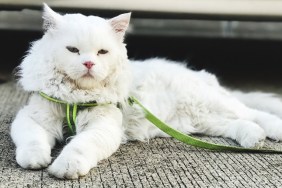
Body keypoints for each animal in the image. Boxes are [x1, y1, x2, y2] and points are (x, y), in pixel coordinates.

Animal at [9, 3, 282, 178]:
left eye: (102, 52)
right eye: (73, 50)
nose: (88, 64)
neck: (75, 99)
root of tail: (201, 76)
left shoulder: (103, 127)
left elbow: (79, 146)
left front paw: (65, 167)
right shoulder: (34, 118)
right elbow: (32, 140)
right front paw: (35, 160)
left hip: (210, 104)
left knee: (255, 114)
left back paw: (273, 132)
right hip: (202, 120)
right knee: (239, 124)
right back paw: (253, 138)